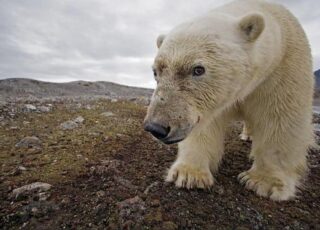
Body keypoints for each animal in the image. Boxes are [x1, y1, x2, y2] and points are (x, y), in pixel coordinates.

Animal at [144, 0, 314, 201]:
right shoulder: (211, 103)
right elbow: (206, 125)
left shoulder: (282, 71)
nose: (156, 127)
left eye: (198, 69)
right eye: (156, 71)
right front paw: (189, 174)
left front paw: (264, 182)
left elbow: (281, 119)